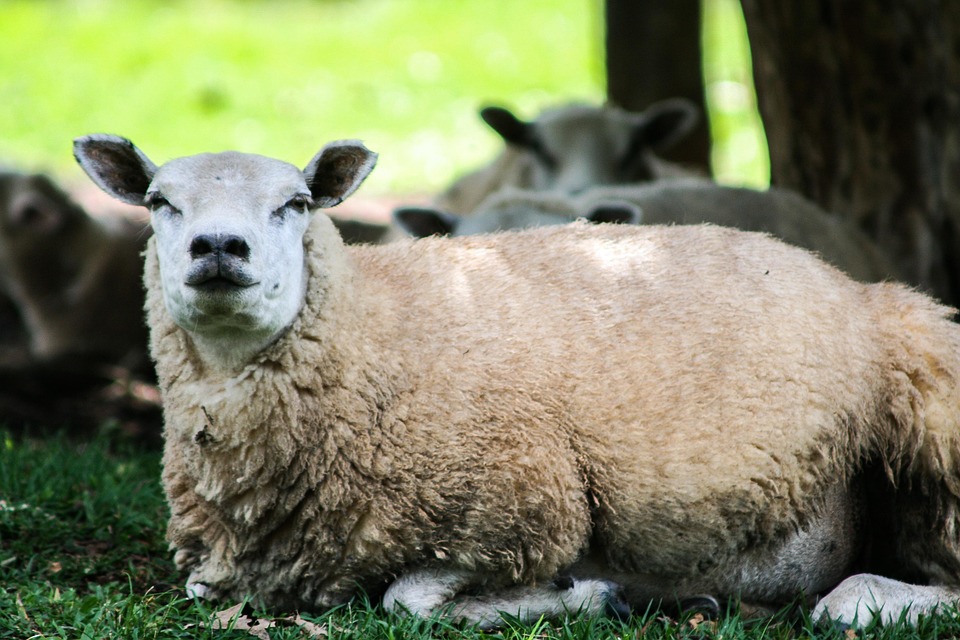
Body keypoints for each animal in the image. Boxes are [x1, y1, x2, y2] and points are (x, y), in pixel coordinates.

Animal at [74, 133, 960, 630]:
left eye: (295, 202)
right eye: (158, 201)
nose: (219, 249)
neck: (383, 329)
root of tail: (861, 288)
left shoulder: (520, 508)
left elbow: (409, 601)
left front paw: (595, 598)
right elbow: (205, 592)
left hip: (933, 425)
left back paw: (856, 602)